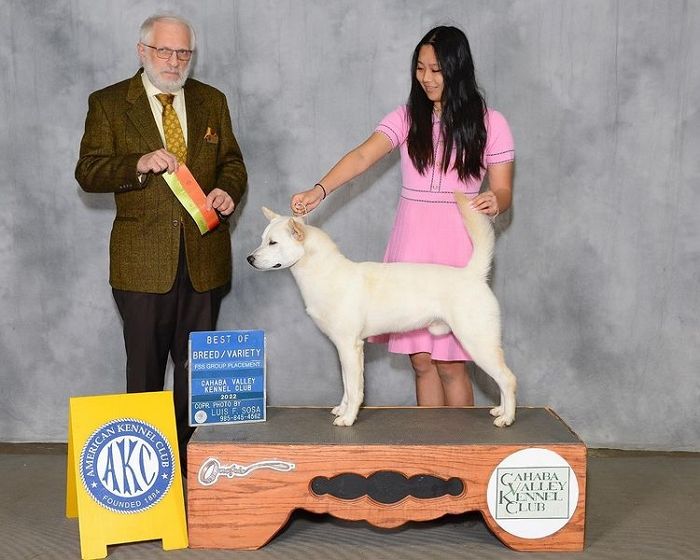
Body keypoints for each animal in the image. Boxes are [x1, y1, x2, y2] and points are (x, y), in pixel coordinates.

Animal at [246, 190, 516, 426]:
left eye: (273, 243)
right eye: (261, 240)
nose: (249, 258)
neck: (323, 273)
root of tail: (472, 274)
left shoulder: (350, 346)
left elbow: (354, 388)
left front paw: (347, 419)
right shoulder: (343, 349)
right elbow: (346, 386)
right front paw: (342, 409)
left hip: (477, 342)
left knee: (508, 379)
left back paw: (507, 418)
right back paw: (500, 410)